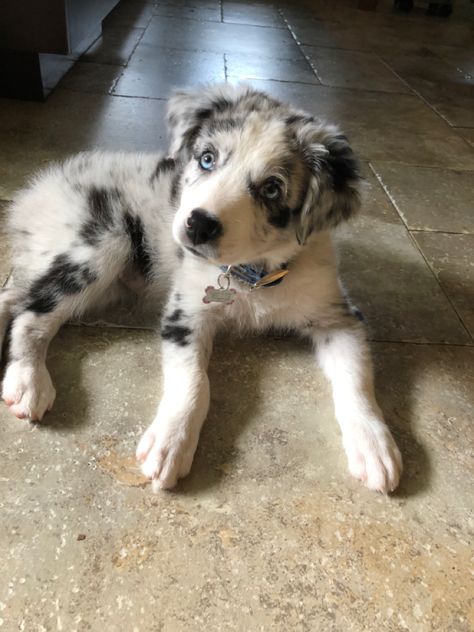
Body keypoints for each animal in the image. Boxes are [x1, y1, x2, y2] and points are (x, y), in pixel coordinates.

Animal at [0, 81, 402, 492]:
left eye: (272, 189)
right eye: (207, 159)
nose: (199, 225)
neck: (254, 274)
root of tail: (37, 190)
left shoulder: (337, 317)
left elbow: (356, 381)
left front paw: (373, 443)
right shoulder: (186, 313)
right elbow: (194, 381)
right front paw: (170, 442)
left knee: (17, 295)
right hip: (102, 245)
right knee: (32, 315)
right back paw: (28, 381)